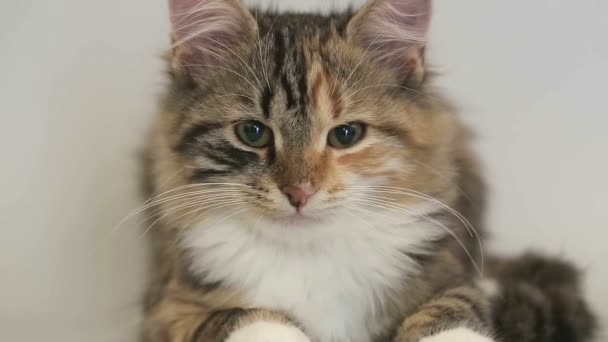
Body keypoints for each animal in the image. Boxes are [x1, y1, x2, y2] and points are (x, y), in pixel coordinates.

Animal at [140, 0, 596, 342]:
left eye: (346, 135)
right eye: (252, 132)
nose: (299, 193)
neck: (310, 254)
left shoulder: (446, 271)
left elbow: (451, 308)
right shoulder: (168, 306)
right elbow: (248, 315)